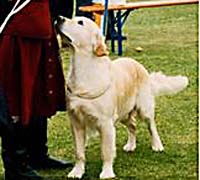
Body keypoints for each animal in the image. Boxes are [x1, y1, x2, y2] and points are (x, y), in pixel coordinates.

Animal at [56, 16, 189, 179]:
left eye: (80, 22)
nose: (59, 18)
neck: (84, 70)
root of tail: (137, 64)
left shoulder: (105, 123)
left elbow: (106, 152)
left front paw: (107, 172)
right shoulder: (76, 122)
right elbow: (79, 152)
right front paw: (77, 171)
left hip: (144, 108)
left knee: (151, 126)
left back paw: (157, 145)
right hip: (124, 112)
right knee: (133, 125)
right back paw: (131, 145)